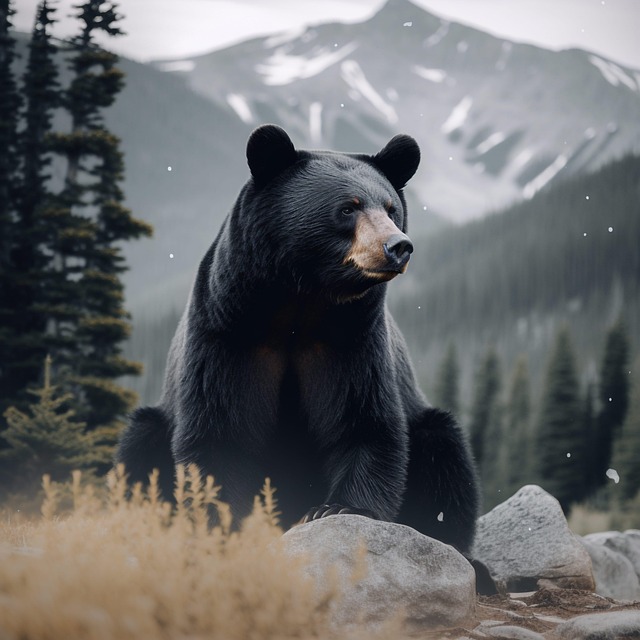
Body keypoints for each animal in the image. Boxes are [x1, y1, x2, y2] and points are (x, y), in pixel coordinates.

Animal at [116, 124, 480, 553]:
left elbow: (364, 421)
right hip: (153, 422)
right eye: (348, 207)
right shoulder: (226, 334)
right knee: (137, 454)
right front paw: (223, 523)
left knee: (446, 455)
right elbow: (218, 431)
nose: (398, 246)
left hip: (427, 423)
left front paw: (338, 507)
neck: (301, 302)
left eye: (392, 209)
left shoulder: (352, 340)